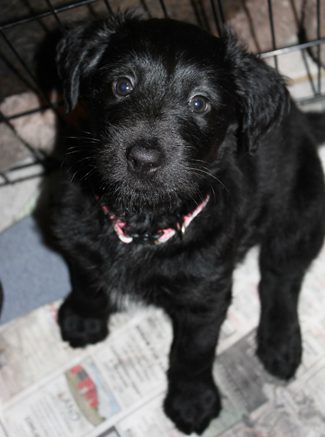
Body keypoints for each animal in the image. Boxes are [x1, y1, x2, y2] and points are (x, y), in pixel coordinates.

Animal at [53, 13, 324, 432]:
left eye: (200, 102)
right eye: (122, 85)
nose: (143, 158)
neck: (142, 222)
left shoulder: (204, 297)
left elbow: (194, 353)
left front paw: (192, 400)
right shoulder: (74, 233)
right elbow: (85, 278)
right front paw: (83, 319)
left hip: (300, 215)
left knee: (281, 280)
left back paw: (280, 343)